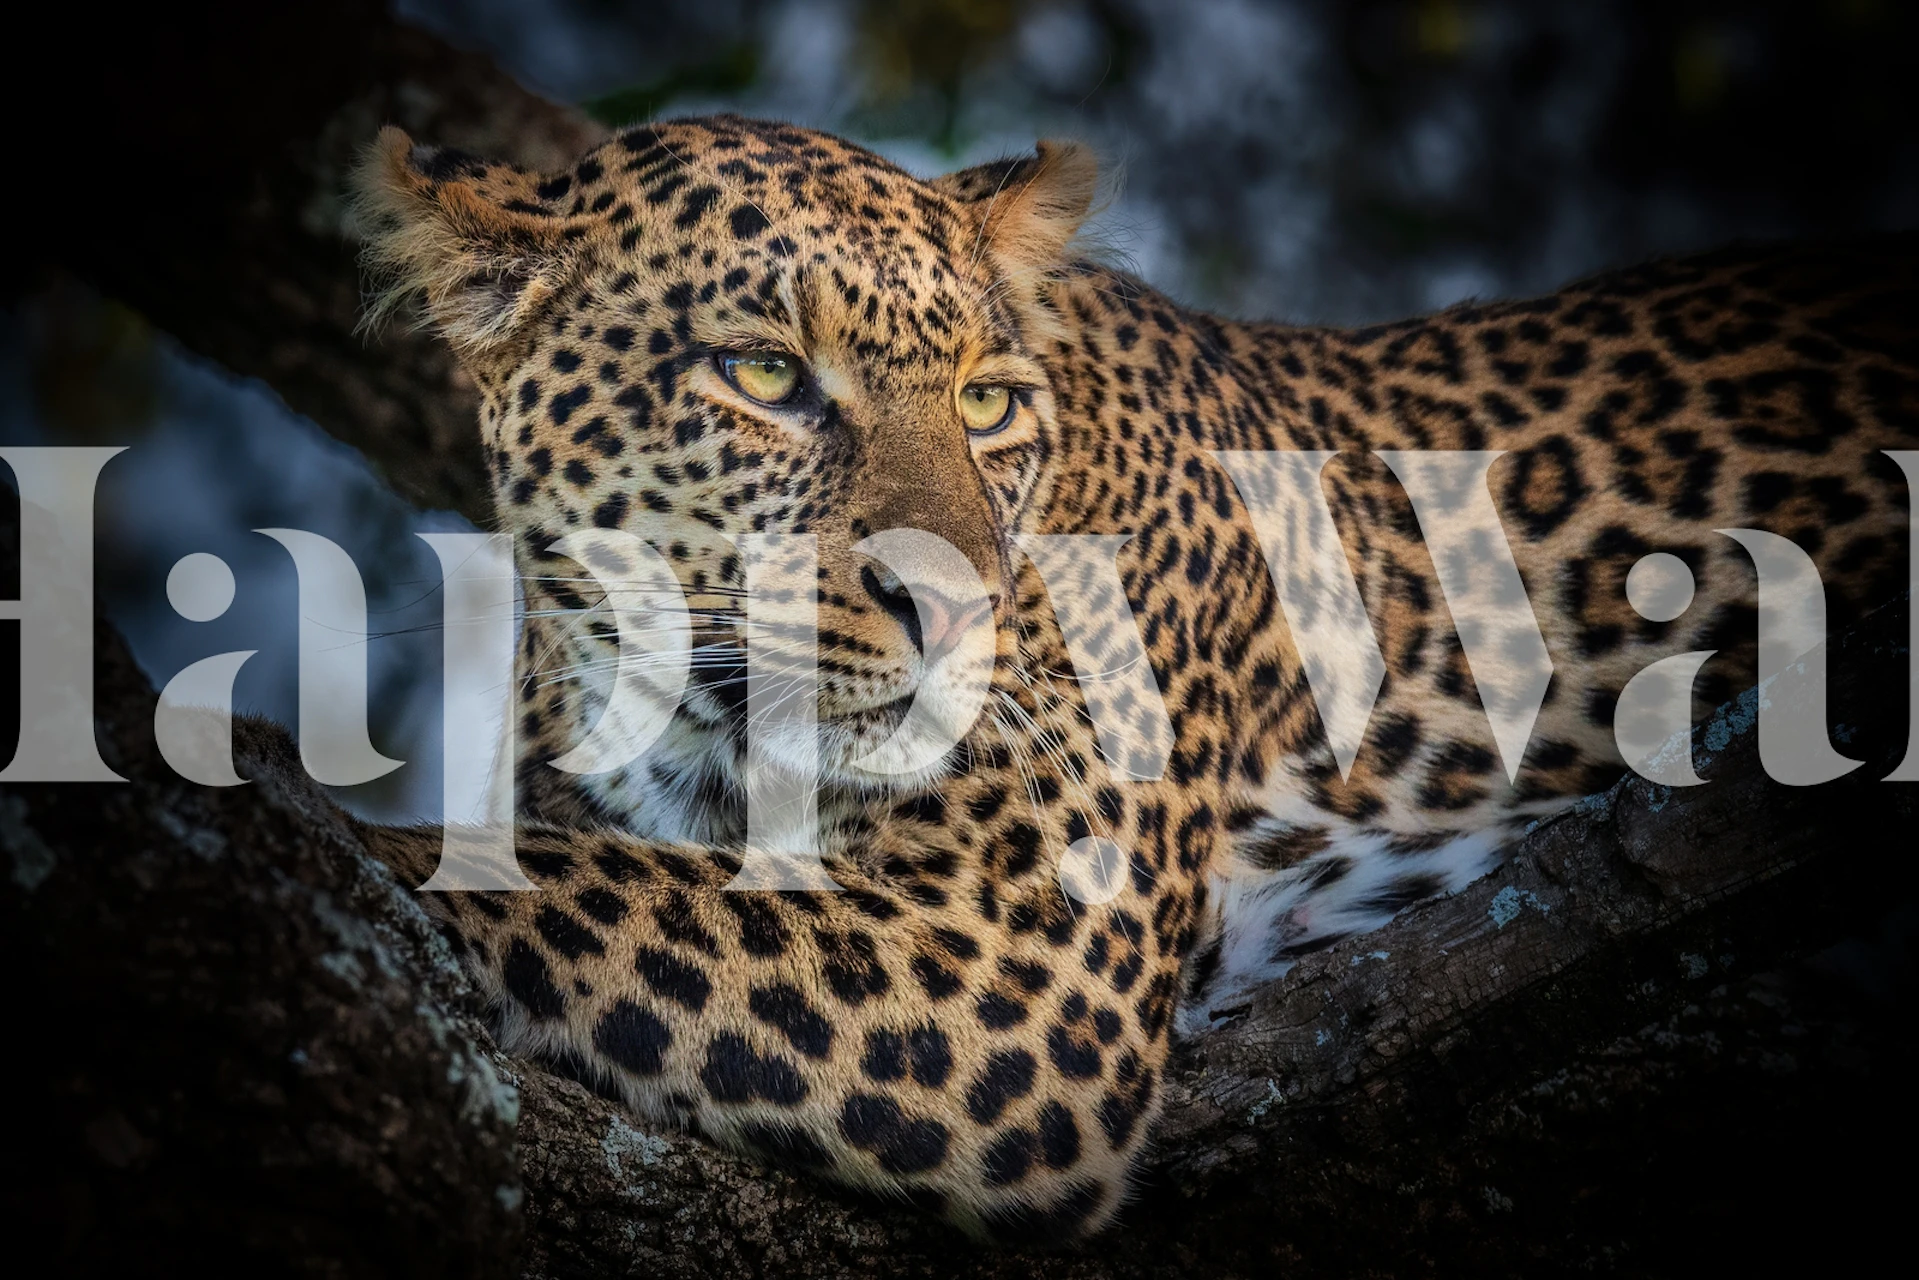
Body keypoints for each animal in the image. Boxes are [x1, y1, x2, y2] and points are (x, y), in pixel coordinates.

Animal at [348, 113, 1918, 1241]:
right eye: (763, 374)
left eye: (986, 402)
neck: (682, 714)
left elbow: (543, 888)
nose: (956, 607)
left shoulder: (1018, 966)